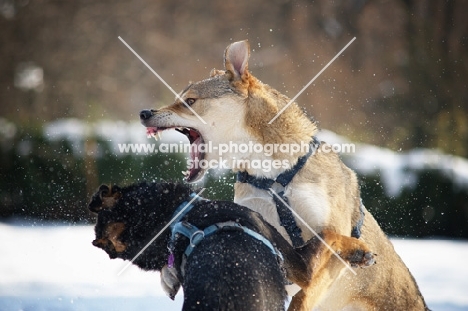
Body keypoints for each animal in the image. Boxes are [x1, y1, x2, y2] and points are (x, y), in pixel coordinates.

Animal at [141, 40, 430, 310]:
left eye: (190, 101)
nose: (145, 113)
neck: (272, 176)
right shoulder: (259, 228)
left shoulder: (327, 240)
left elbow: (307, 287)